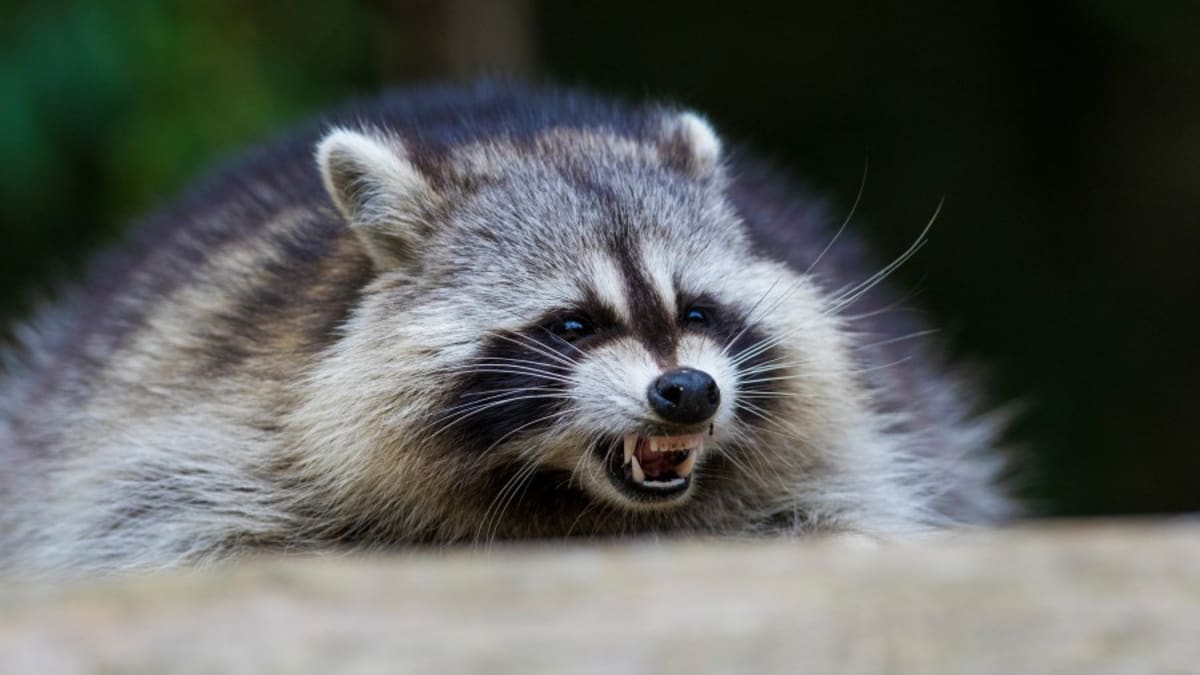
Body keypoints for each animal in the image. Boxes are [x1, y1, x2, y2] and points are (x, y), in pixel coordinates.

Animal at [0, 83, 1008, 574]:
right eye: (572, 322)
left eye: (695, 310)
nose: (687, 391)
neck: (567, 497)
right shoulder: (213, 404)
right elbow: (160, 527)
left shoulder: (858, 442)